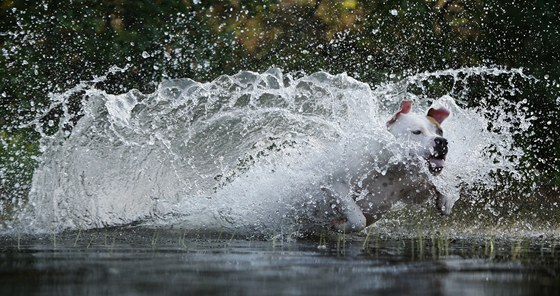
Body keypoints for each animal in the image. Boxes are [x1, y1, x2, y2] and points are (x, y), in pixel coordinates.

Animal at [318, 100, 452, 232]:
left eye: (440, 131)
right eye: (416, 132)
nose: (442, 141)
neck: (393, 166)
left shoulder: (418, 186)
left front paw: (446, 200)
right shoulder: (334, 184)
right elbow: (358, 220)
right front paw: (339, 226)